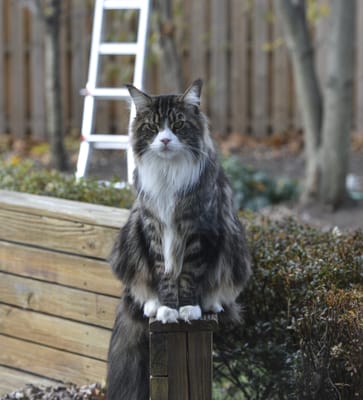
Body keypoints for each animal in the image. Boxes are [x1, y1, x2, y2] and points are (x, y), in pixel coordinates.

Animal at [106, 79, 252, 400]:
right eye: (152, 126)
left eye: (177, 124)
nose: (164, 140)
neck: (168, 170)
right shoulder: (153, 226)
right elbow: (163, 274)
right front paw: (166, 308)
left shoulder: (200, 229)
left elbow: (188, 276)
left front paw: (187, 308)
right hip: (129, 238)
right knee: (141, 285)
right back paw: (151, 304)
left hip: (234, 246)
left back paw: (210, 304)